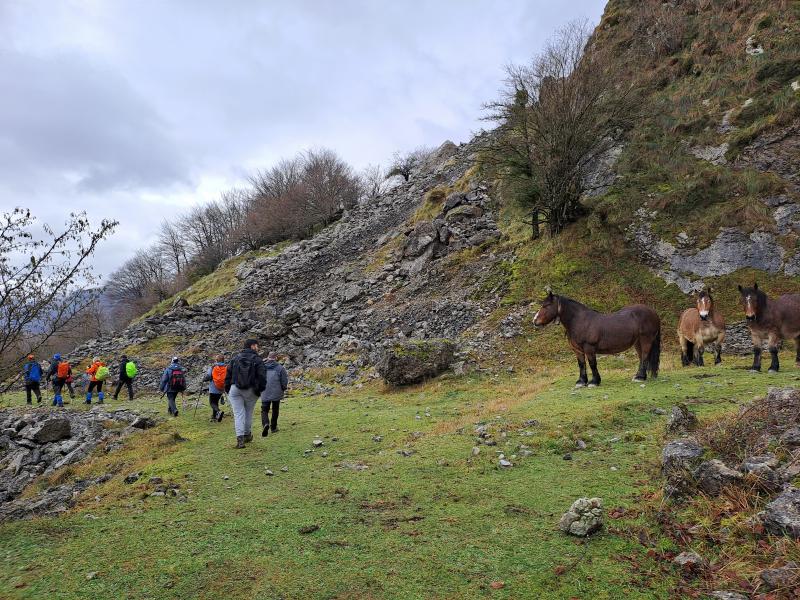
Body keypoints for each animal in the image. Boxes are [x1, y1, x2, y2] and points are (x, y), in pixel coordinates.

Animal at [532, 292, 664, 386]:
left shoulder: (589, 348)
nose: (534, 321)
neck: (580, 321)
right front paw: (581, 381)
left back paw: (640, 377)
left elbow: (592, 364)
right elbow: (581, 364)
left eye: (546, 305)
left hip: (646, 339)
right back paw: (638, 376)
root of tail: (653, 312)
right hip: (637, 342)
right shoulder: (578, 350)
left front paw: (594, 382)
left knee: (645, 355)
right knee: (642, 357)